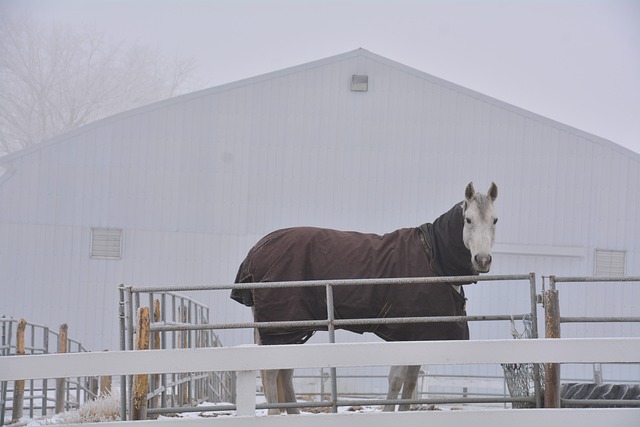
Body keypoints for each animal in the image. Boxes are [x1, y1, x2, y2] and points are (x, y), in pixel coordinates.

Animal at [231, 182, 498, 413]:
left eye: (495, 220)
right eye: (468, 219)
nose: (482, 260)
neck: (433, 259)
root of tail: (257, 251)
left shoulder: (419, 336)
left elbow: (409, 382)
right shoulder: (404, 334)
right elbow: (397, 379)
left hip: (293, 329)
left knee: (285, 373)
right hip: (280, 326)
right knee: (271, 371)